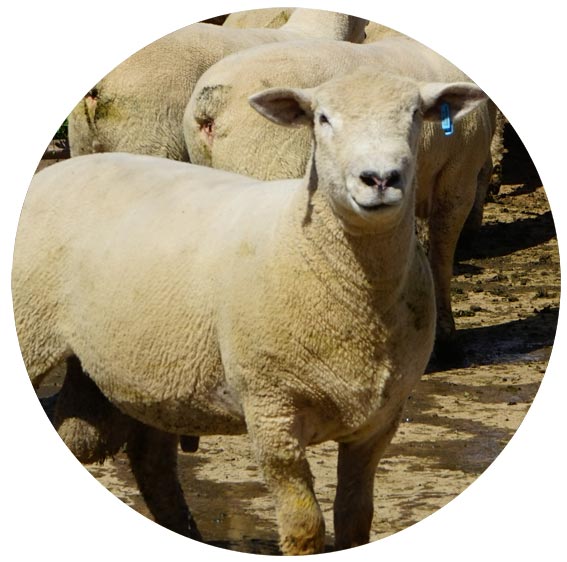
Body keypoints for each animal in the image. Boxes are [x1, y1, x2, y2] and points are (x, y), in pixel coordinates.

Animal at [13, 66, 486, 552]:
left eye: (415, 115)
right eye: (322, 118)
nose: (380, 179)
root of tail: (58, 170)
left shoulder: (380, 422)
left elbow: (356, 520)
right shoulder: (271, 410)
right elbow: (304, 525)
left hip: (142, 370)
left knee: (142, 458)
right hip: (31, 331)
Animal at [184, 36, 500, 358]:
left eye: (415, 115)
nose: (381, 177)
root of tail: (210, 106)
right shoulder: (458, 178)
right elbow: (441, 255)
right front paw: (444, 334)